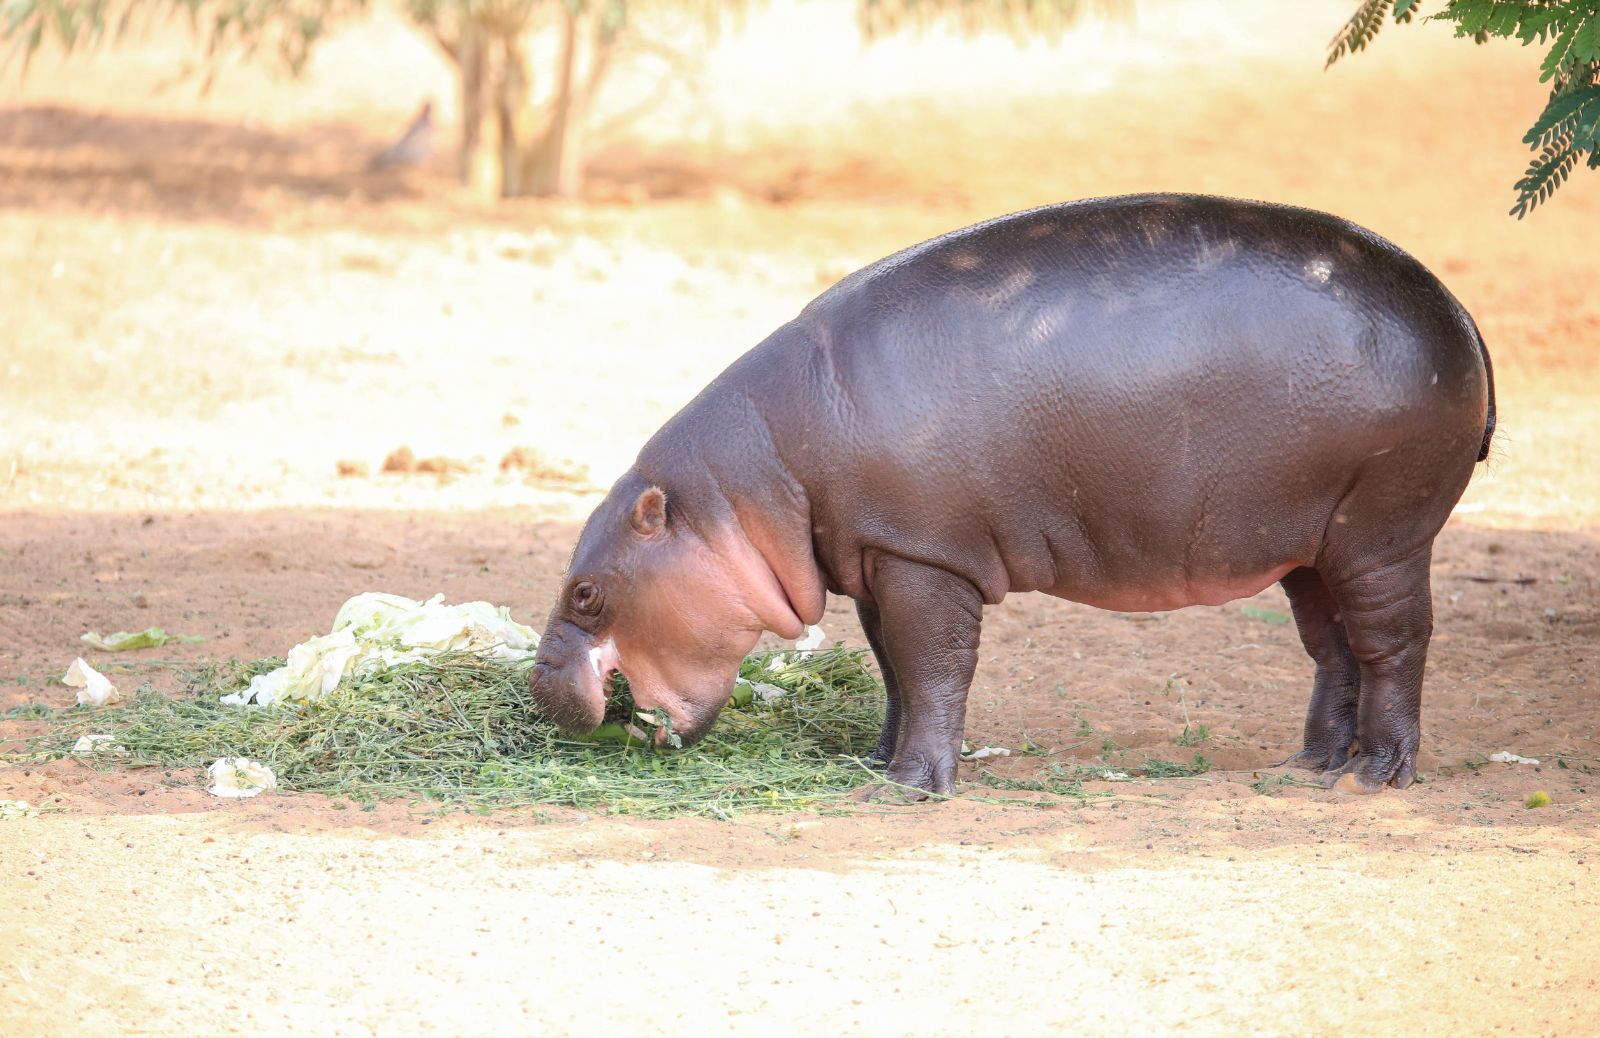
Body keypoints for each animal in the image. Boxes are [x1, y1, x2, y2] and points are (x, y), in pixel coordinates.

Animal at [531, 191, 1491, 793]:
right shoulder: (885, 556)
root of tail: (1458, 308)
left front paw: (909, 787)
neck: (748, 486)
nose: (536, 691)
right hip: (1309, 542)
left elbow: (936, 666)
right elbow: (897, 671)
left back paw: (1378, 774)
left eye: (584, 592)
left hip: (1382, 528)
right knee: (1333, 648)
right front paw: (877, 764)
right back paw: (1312, 766)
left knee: (1395, 643)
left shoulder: (926, 558)